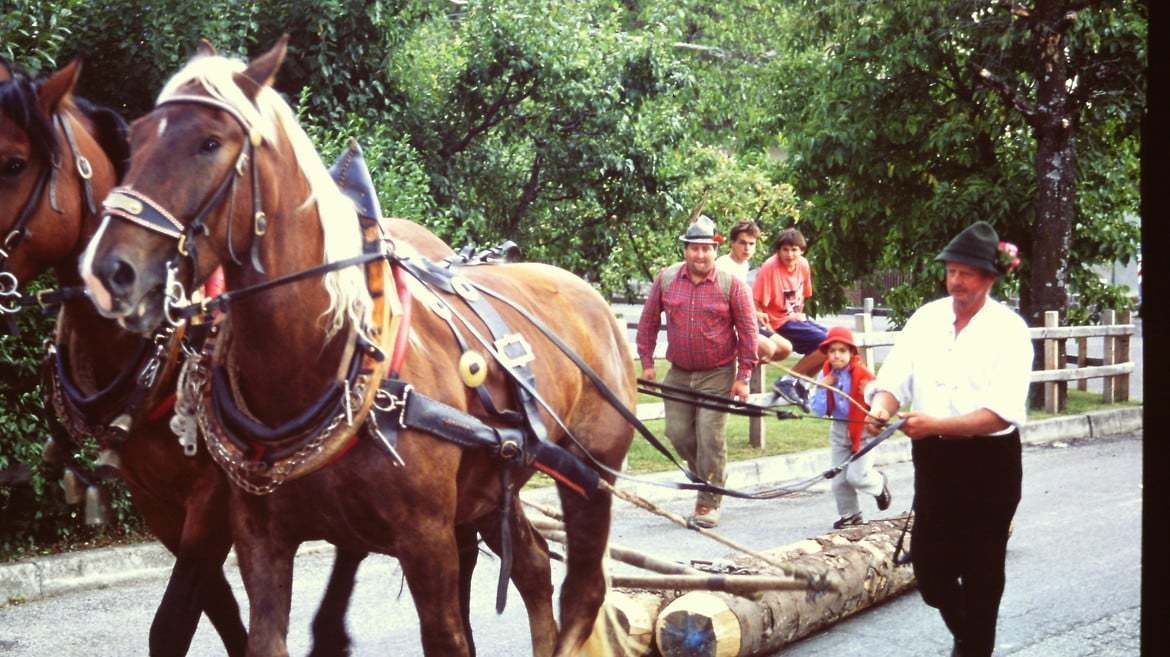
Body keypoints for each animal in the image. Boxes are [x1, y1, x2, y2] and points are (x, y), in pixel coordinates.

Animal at [80, 39, 641, 654]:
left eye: (209, 142)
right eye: (135, 139)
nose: (108, 271)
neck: (328, 364)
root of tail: (597, 302)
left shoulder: (427, 540)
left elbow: (448, 636)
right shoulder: (260, 539)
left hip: (591, 482)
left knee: (583, 590)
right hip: (495, 489)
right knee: (536, 566)